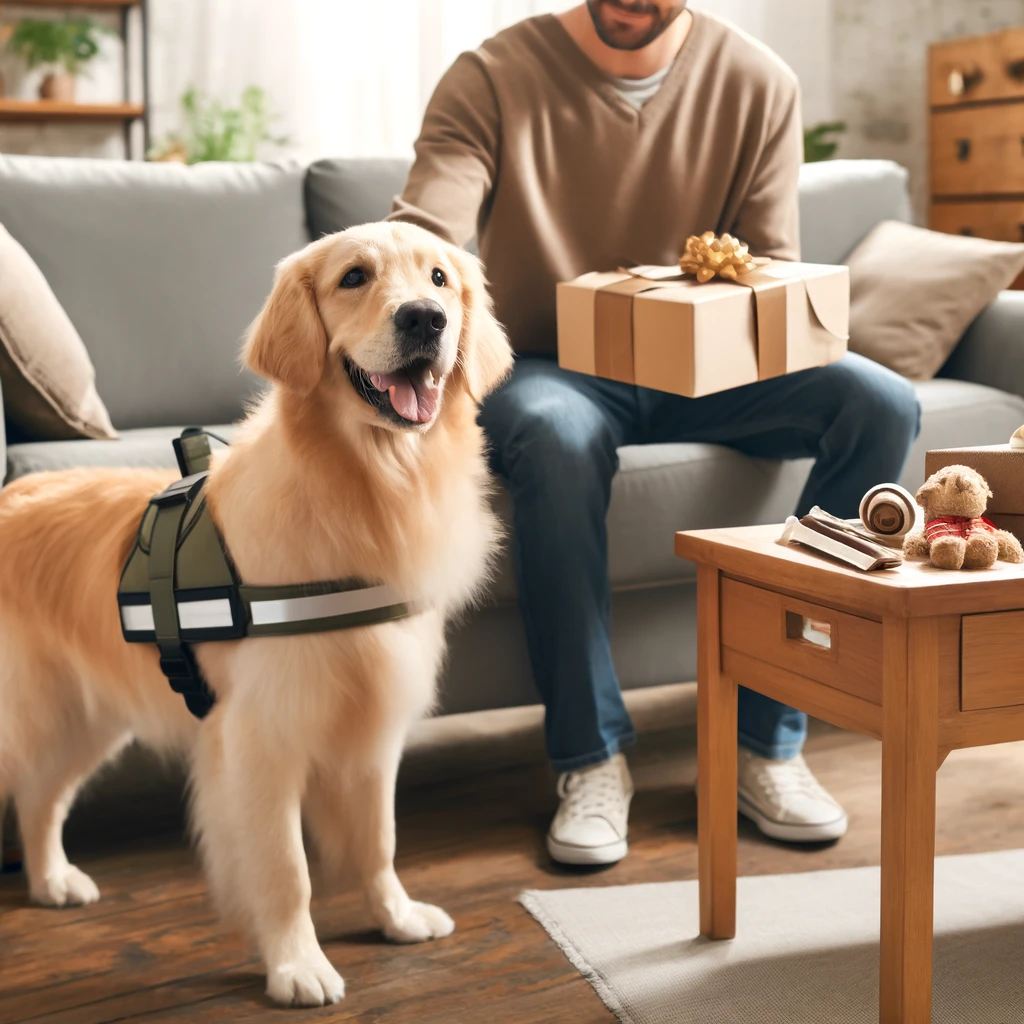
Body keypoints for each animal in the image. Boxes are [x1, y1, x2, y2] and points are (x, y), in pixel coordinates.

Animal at [0, 220, 512, 1003]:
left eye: (439, 279)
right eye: (354, 277)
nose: (425, 320)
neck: (370, 485)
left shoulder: (371, 723)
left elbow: (379, 839)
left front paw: (395, 917)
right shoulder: (260, 738)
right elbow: (285, 868)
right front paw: (298, 966)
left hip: (86, 717)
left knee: (41, 795)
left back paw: (53, 879)